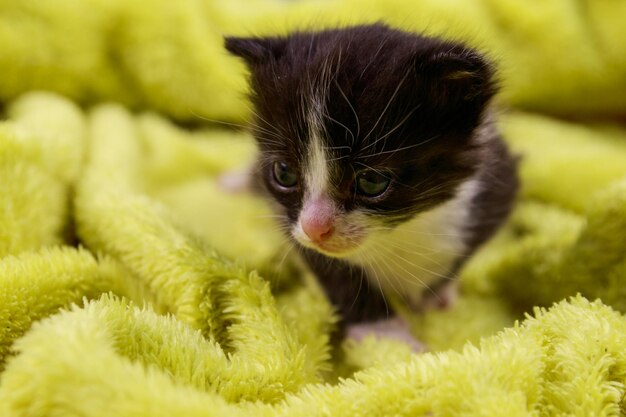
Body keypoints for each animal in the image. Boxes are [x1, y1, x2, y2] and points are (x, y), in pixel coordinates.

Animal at [224, 22, 516, 342]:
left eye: (372, 181)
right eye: (284, 172)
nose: (315, 228)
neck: (399, 232)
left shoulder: (496, 188)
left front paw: (437, 292)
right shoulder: (290, 221)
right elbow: (333, 270)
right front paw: (385, 333)